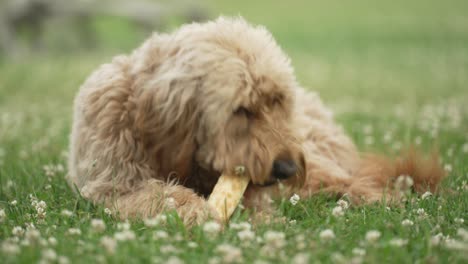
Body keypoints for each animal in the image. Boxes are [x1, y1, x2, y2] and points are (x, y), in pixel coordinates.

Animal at [66, 17, 446, 225]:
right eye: (240, 110)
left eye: (277, 100)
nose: (287, 169)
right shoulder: (113, 183)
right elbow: (162, 194)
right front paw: (196, 211)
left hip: (318, 166)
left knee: (351, 180)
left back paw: (381, 198)